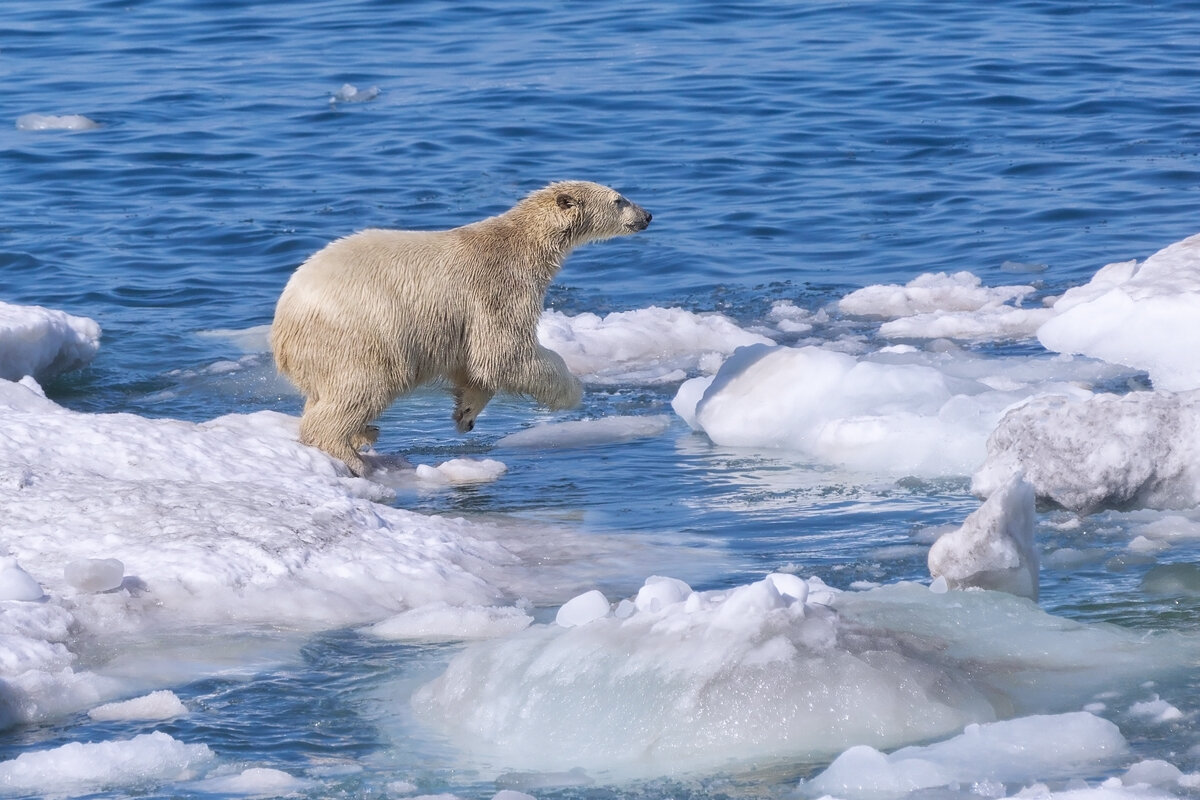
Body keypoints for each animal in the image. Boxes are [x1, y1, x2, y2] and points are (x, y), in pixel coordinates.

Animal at [271, 181, 652, 474]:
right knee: (362, 386)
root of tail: (283, 326)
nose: (647, 215)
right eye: (619, 199)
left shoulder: (463, 318)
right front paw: (572, 391)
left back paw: (365, 433)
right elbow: (504, 352)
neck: (521, 242)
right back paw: (351, 454)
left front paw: (465, 414)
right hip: (359, 334)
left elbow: (475, 365)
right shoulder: (498, 286)